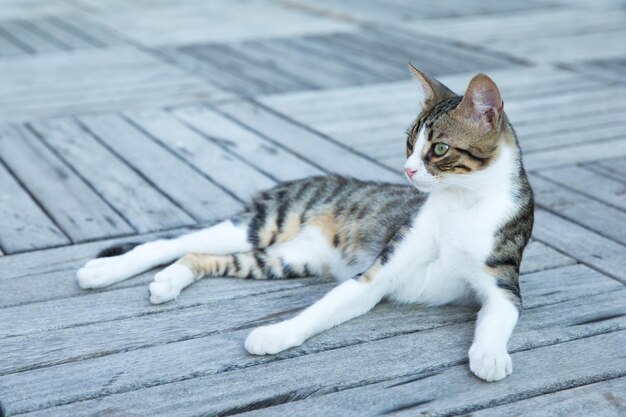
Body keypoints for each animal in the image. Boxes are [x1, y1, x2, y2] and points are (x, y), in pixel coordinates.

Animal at [77, 65, 532, 380]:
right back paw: (101, 271)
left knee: (197, 254)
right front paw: (275, 334)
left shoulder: (502, 281)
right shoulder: (379, 273)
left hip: (286, 258)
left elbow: (500, 316)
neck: (462, 203)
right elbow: (319, 311)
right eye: (409, 143)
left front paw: (490, 356)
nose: (407, 170)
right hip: (268, 220)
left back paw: (168, 282)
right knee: (172, 243)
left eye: (438, 149)